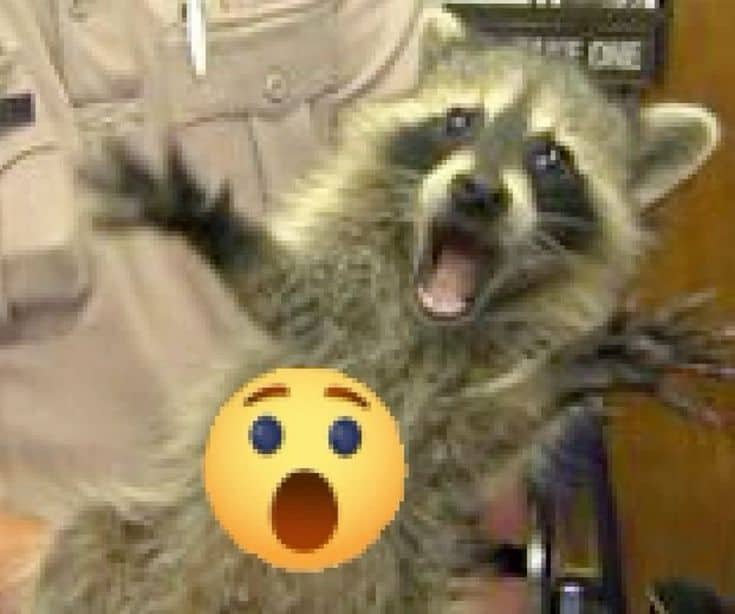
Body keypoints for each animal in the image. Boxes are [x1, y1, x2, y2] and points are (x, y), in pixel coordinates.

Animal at [25, 16, 721, 614]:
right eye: (460, 119)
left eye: (550, 156)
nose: (477, 193)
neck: (426, 326)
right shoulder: (332, 320)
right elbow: (285, 293)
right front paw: (216, 225)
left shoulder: (441, 445)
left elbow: (466, 437)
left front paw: (555, 378)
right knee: (86, 543)